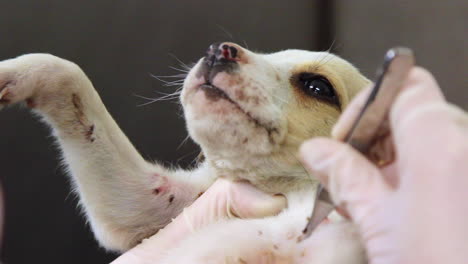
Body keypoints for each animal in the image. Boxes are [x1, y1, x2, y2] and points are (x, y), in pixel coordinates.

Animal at [0, 42, 370, 262]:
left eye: (318, 87)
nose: (219, 50)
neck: (293, 191)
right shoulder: (145, 206)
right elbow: (70, 77)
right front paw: (13, 72)